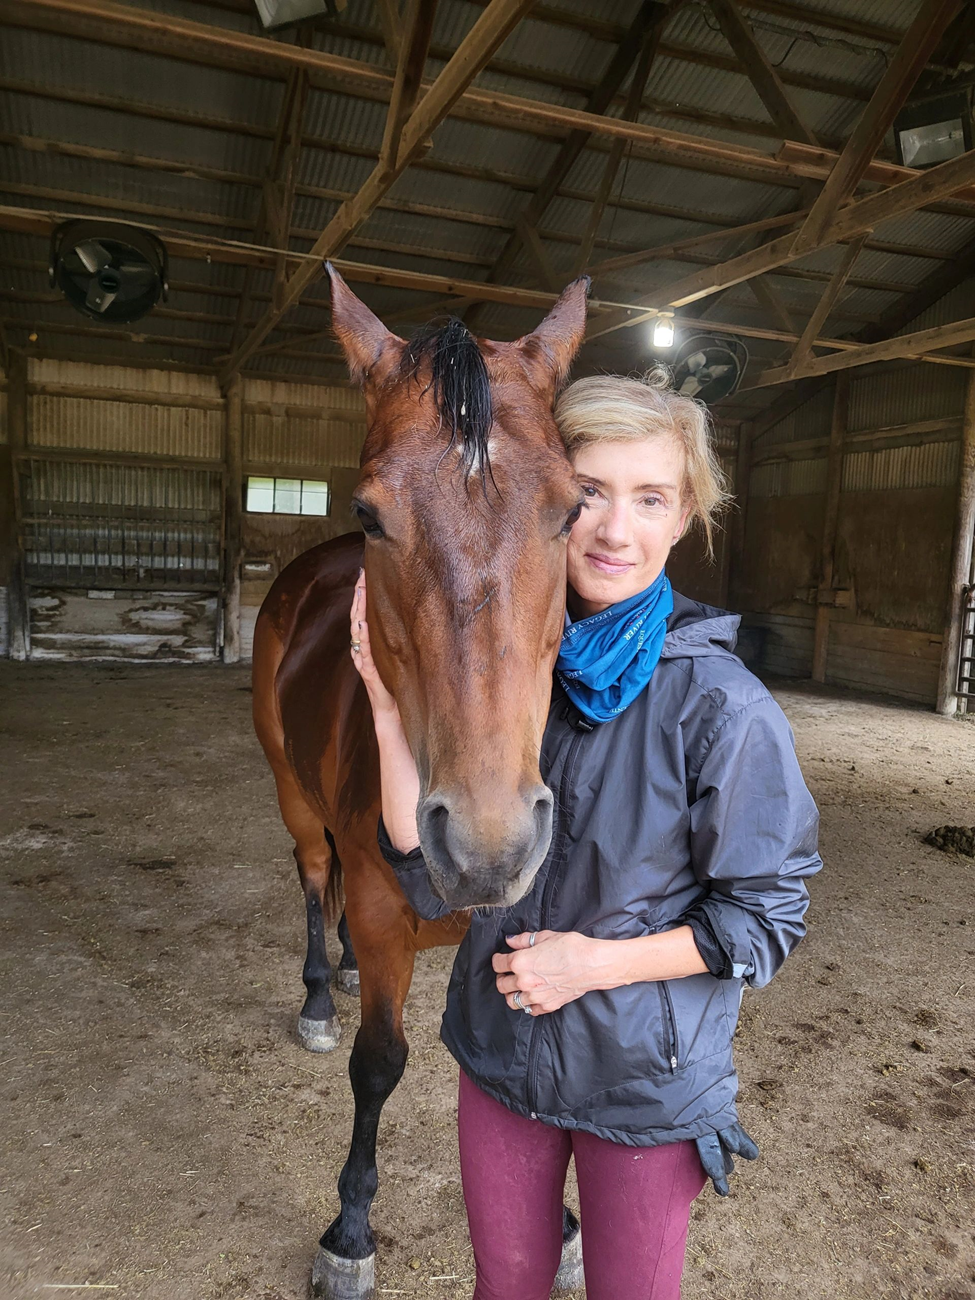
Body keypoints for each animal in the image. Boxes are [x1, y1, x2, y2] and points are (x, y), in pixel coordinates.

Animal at [252, 265, 590, 1300]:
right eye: (370, 514)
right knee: (312, 876)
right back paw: (322, 992)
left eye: (574, 508)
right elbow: (380, 1063)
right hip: (294, 797)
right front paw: (351, 1230)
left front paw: (566, 1220)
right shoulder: (378, 899)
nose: (486, 846)